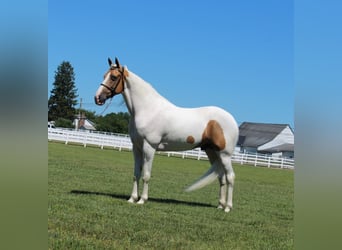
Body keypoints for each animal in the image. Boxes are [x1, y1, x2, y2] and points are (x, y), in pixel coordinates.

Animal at [93, 57, 238, 212]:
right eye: (104, 76)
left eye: (113, 77)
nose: (98, 98)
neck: (147, 109)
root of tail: (232, 120)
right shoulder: (136, 147)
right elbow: (136, 174)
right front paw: (132, 198)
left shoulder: (149, 147)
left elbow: (146, 175)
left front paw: (142, 200)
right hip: (213, 153)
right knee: (221, 177)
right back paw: (220, 205)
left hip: (224, 154)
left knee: (230, 177)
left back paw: (228, 207)